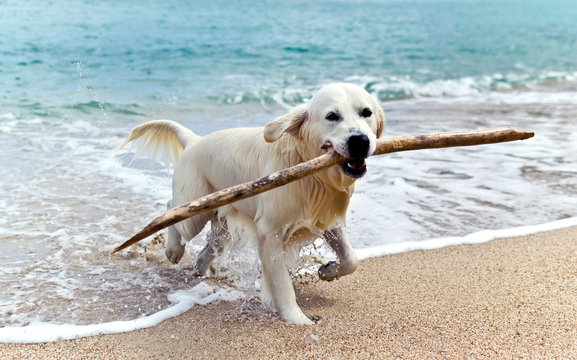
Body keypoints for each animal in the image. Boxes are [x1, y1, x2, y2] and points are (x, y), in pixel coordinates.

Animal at [120, 83, 384, 324]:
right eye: (332, 116)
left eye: (366, 112)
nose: (360, 141)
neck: (309, 171)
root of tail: (194, 141)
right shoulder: (270, 231)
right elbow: (281, 283)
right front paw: (296, 319)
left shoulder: (324, 218)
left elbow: (351, 258)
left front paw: (328, 271)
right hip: (195, 211)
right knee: (171, 210)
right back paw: (174, 249)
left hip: (221, 224)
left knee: (209, 247)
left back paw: (202, 269)